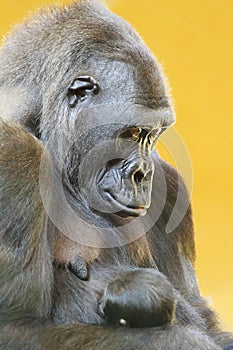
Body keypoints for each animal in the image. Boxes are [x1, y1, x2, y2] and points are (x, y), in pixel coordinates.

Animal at [0, 0, 232, 350]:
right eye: (133, 132)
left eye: (153, 135)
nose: (143, 173)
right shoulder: (13, 149)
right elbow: (15, 327)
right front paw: (180, 340)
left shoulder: (171, 187)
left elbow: (203, 316)